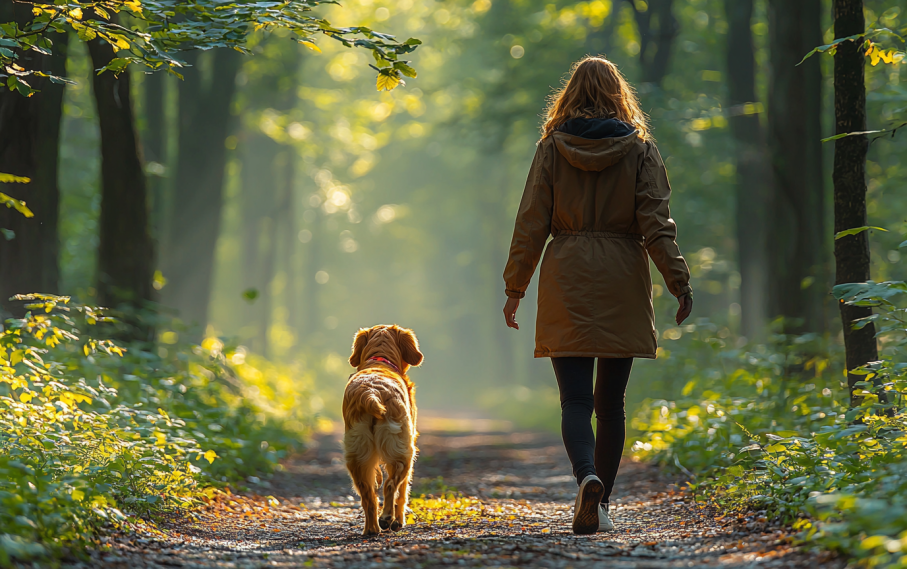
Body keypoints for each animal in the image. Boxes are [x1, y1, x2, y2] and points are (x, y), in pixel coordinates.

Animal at [342, 324, 424, 532]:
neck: (380, 360)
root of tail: (371, 393)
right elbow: (403, 493)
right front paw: (399, 521)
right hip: (405, 453)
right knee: (390, 486)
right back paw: (387, 518)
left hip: (356, 457)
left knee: (369, 496)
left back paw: (371, 529)